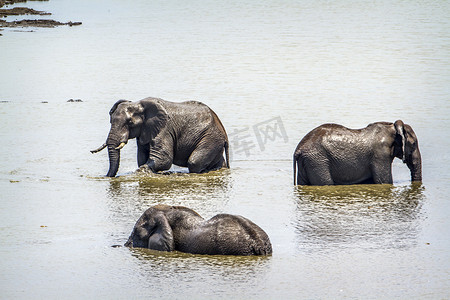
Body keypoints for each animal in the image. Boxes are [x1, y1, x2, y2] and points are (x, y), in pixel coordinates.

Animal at [90, 97, 229, 177]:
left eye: (130, 122)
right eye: (110, 121)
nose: (106, 177)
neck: (139, 104)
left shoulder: (164, 129)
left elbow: (163, 158)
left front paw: (142, 171)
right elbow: (142, 157)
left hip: (210, 138)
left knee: (194, 162)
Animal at [294, 119, 424, 185]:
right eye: (413, 144)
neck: (391, 128)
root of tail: (298, 149)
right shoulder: (380, 155)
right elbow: (384, 181)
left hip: (308, 161)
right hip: (317, 160)